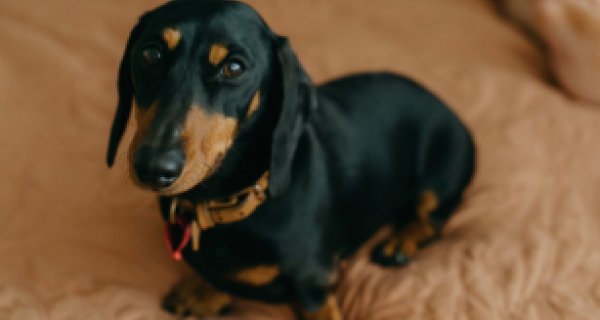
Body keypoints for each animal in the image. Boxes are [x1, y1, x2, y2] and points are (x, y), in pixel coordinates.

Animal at [105, 0, 476, 318]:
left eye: (234, 67)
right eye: (151, 54)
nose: (153, 169)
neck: (226, 202)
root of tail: (443, 103)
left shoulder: (316, 286)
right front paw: (203, 293)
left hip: (442, 179)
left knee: (431, 219)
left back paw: (401, 241)